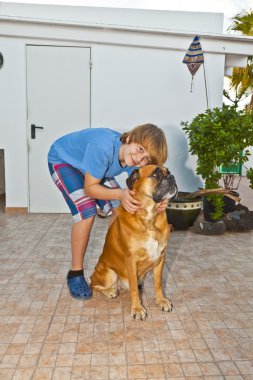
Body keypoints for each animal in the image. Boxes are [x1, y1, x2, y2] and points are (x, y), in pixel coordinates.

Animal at [90, 165, 177, 320]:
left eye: (169, 172)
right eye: (156, 174)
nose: (172, 177)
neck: (149, 218)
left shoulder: (160, 257)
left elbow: (158, 283)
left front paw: (161, 301)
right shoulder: (131, 260)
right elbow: (135, 291)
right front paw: (137, 309)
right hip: (109, 273)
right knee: (93, 284)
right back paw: (110, 291)